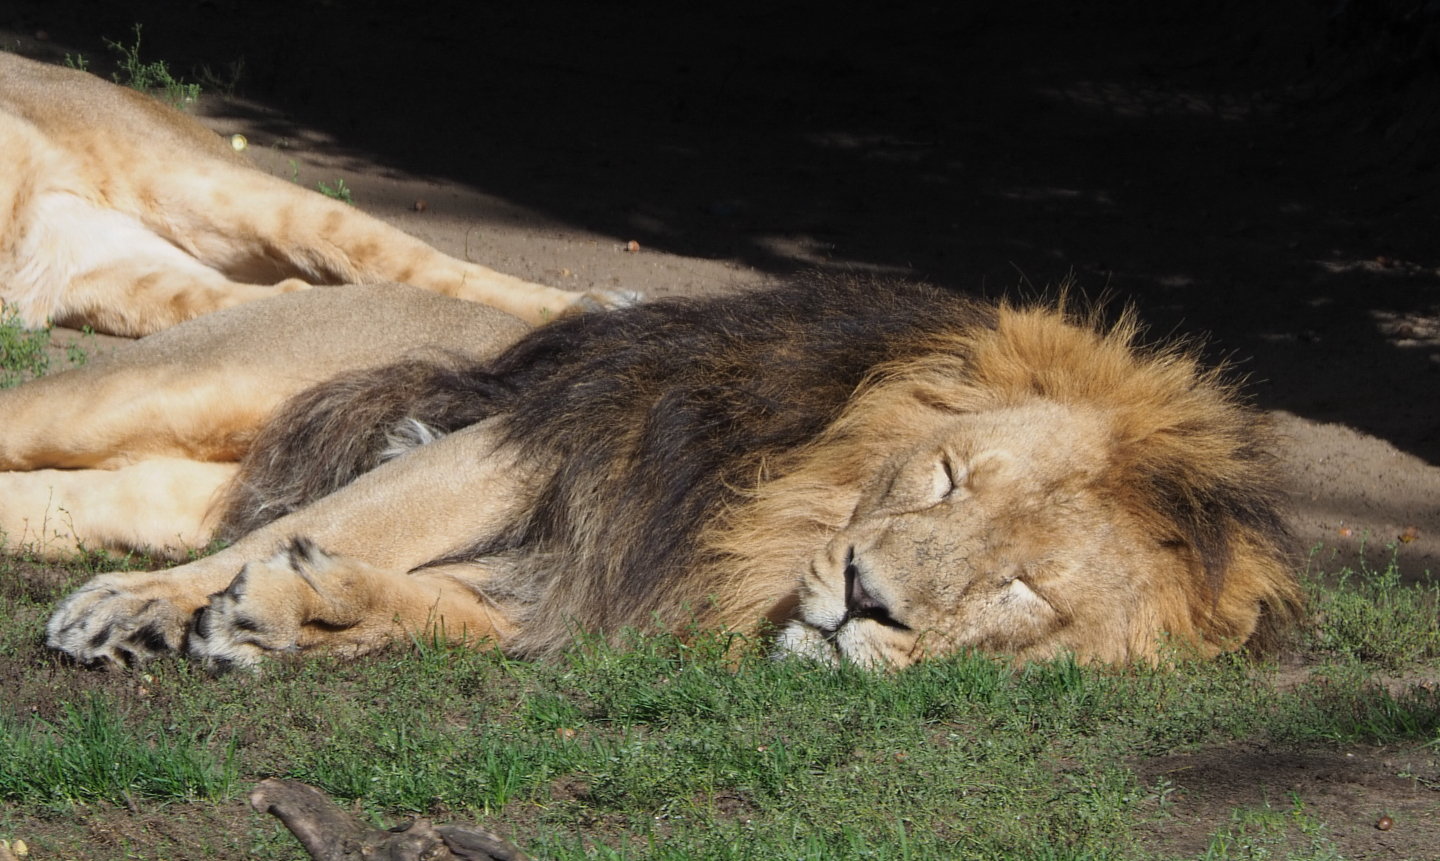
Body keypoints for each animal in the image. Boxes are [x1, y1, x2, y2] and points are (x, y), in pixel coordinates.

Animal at [4, 274, 1301, 670]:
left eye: (1021, 591)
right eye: (945, 477)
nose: (868, 602)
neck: (770, 525)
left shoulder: (595, 575)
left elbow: (428, 601)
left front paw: (302, 614)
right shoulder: (542, 442)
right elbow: (330, 522)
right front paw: (149, 607)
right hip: (164, 384)